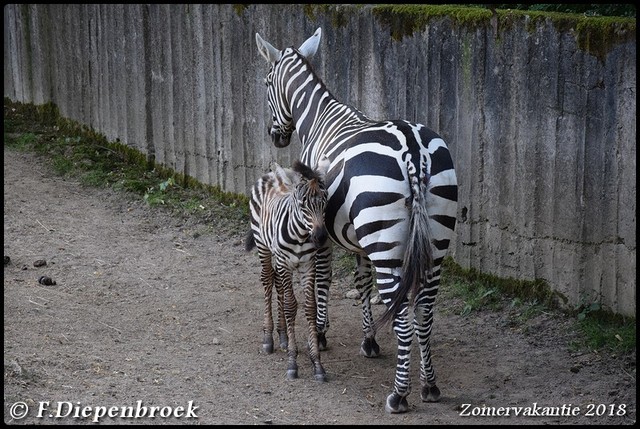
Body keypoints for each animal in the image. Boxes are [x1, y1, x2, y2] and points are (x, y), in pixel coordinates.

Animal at [245, 159, 330, 380]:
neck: (301, 235)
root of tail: (271, 174)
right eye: (302, 204)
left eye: (325, 202)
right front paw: (293, 362)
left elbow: (310, 307)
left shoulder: (308, 265)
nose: (320, 237)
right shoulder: (285, 261)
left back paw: (283, 335)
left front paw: (317, 363)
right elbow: (291, 306)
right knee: (268, 279)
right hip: (263, 245)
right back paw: (269, 338)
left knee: (278, 283)